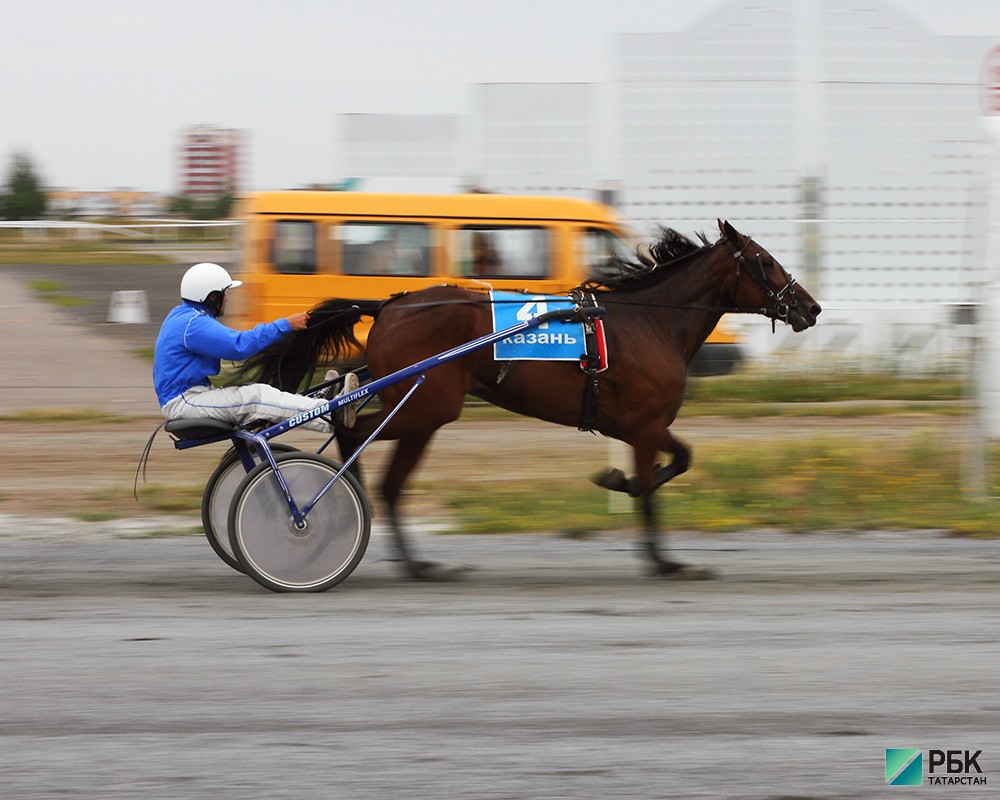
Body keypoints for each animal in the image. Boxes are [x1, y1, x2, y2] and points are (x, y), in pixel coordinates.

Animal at [242, 222, 820, 580]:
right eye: (765, 261)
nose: (810, 307)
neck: (650, 322)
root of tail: (389, 306)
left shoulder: (640, 425)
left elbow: (679, 461)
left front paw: (620, 481)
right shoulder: (645, 424)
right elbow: (660, 486)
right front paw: (663, 560)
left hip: (422, 412)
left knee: (380, 470)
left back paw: (411, 559)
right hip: (425, 409)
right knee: (360, 444)